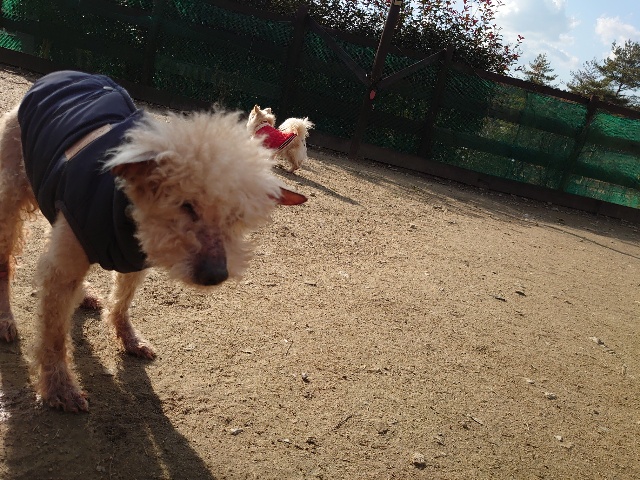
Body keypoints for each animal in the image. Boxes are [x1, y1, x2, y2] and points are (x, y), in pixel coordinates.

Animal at [0, 70, 306, 412]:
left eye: (236, 215)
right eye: (186, 205)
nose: (216, 275)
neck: (127, 215)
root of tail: (59, 74)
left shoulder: (132, 260)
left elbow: (122, 300)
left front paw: (129, 339)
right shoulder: (64, 268)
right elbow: (53, 333)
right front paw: (59, 389)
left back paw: (86, 294)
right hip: (10, 200)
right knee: (5, 263)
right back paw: (5, 320)